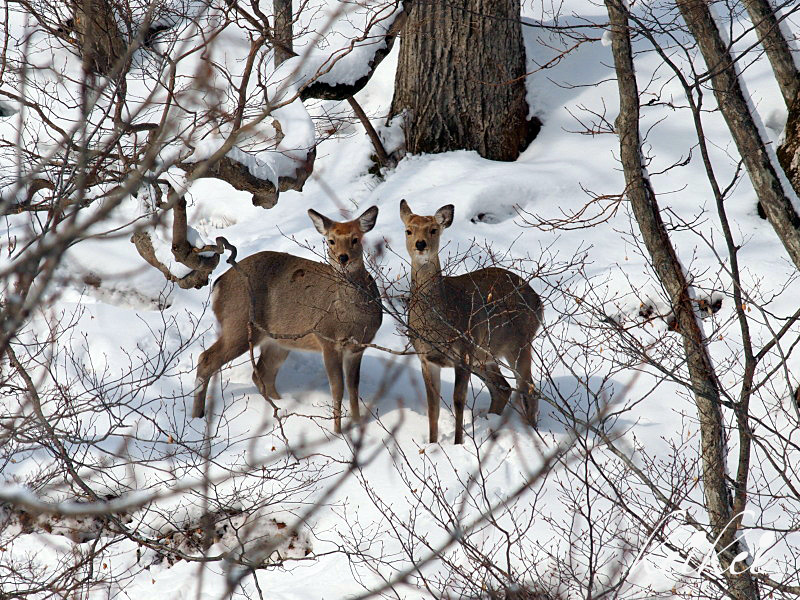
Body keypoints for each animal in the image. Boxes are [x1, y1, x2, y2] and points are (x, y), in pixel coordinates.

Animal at [192, 206, 382, 432]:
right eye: (331, 240)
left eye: (355, 239)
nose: (342, 258)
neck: (352, 319)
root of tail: (218, 284)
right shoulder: (327, 339)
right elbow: (337, 389)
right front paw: (338, 432)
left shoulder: (358, 347)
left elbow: (354, 389)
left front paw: (358, 424)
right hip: (238, 324)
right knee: (206, 359)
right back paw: (197, 416)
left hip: (278, 341)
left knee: (262, 373)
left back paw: (279, 406)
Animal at [400, 199, 544, 442]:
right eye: (408, 230)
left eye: (433, 229)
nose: (420, 244)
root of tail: (538, 301)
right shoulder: (426, 358)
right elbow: (432, 407)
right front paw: (432, 444)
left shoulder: (463, 352)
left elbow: (459, 401)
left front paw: (458, 442)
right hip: (487, 354)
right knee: (503, 388)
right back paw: (492, 424)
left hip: (519, 343)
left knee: (528, 388)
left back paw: (531, 431)